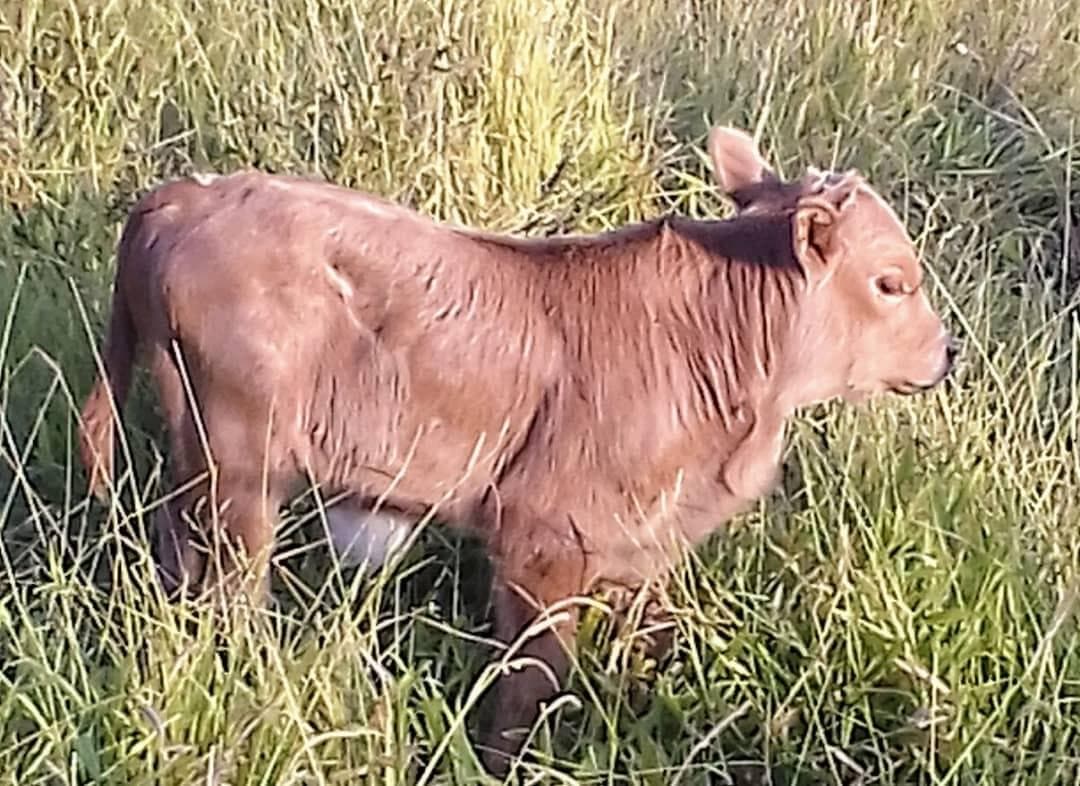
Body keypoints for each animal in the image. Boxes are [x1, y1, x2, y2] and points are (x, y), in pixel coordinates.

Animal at [77, 124, 956, 774]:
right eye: (891, 282)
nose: (946, 354)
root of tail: (184, 196)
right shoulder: (543, 539)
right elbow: (529, 681)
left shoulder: (638, 546)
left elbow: (654, 645)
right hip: (241, 468)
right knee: (230, 599)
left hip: (199, 468)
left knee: (177, 574)